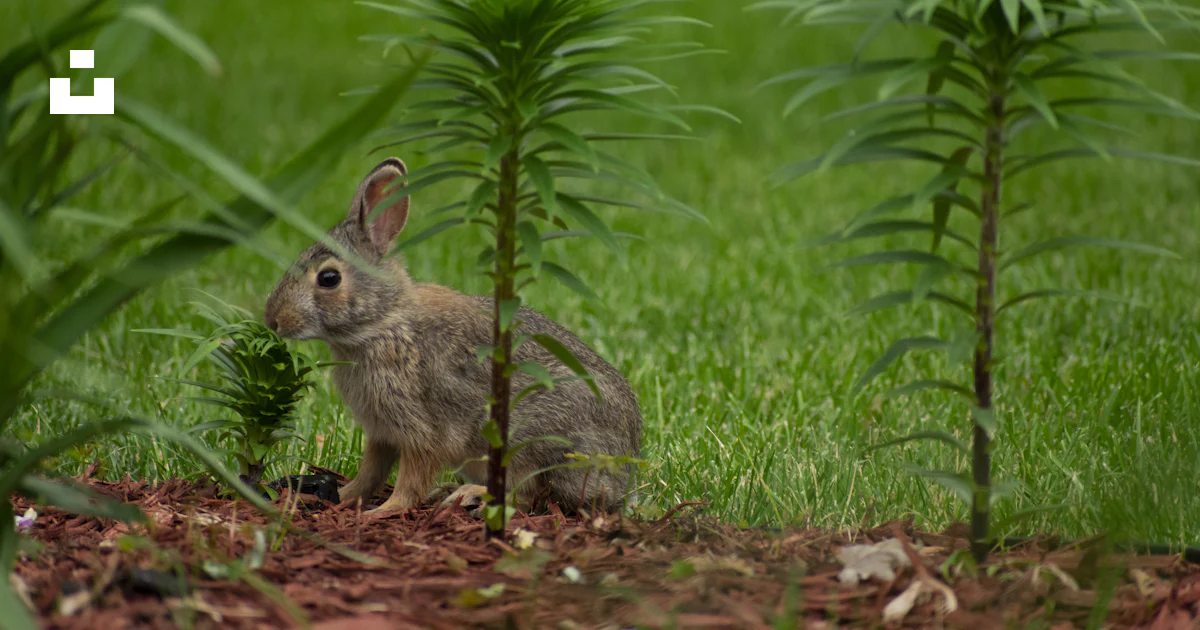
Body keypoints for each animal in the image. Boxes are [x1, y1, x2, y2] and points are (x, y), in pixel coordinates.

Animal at [264, 157, 643, 515]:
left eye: (329, 278)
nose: (273, 320)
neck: (384, 323)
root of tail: (620, 478)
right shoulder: (381, 433)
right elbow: (370, 473)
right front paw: (341, 498)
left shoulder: (422, 429)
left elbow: (410, 478)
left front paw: (383, 511)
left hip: (527, 438)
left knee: (527, 494)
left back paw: (470, 494)